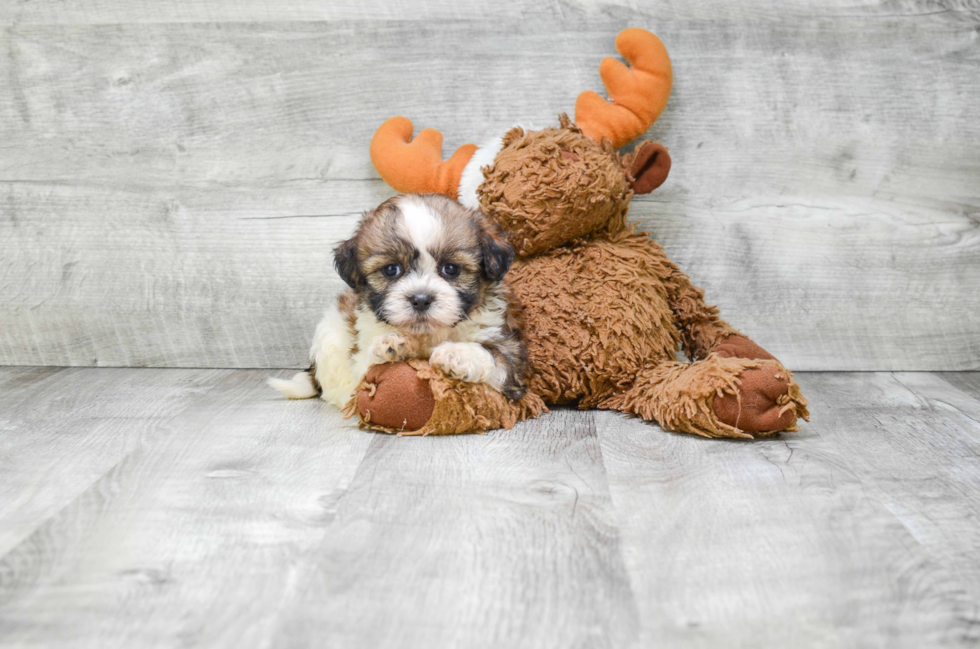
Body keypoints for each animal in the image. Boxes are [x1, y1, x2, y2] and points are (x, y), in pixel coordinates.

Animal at [268, 192, 528, 408]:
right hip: (330, 337)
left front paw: (458, 354)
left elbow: (495, 357)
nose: (421, 299)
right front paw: (390, 344)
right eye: (391, 269)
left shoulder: (509, 353)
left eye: (451, 269)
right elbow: (364, 369)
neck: (426, 336)